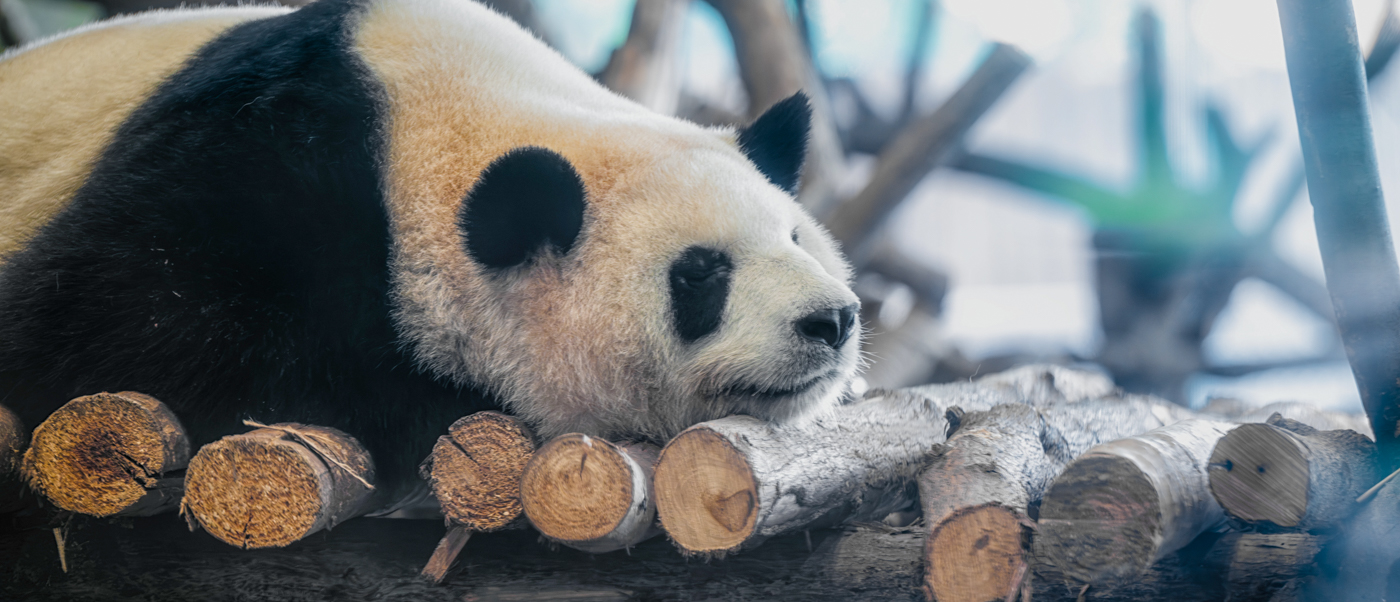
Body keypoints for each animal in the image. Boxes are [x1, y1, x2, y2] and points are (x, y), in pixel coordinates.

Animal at [0, 0, 861, 504]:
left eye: (795, 237)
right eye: (701, 273)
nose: (833, 320)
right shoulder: (250, 163)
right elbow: (109, 335)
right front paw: (431, 409)